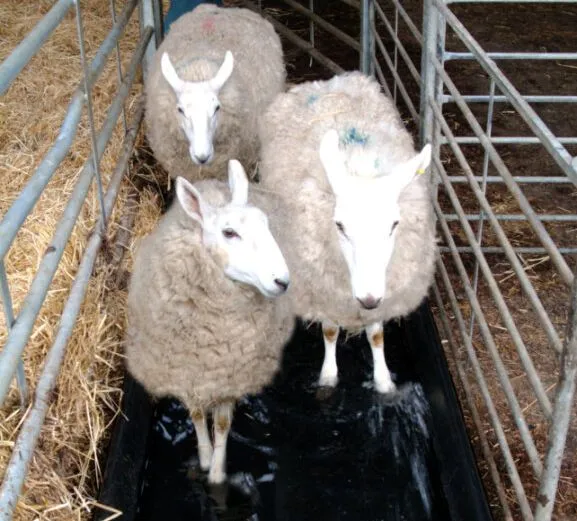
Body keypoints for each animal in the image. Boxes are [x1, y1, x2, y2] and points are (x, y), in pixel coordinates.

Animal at [125, 159, 292, 484]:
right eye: (229, 233)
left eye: (266, 224)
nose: (282, 281)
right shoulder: (186, 371)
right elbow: (197, 415)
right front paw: (203, 458)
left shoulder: (229, 375)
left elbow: (223, 424)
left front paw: (216, 473)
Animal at [258, 70, 436, 394]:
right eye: (339, 225)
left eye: (394, 224)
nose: (368, 298)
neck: (361, 167)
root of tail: (329, 82)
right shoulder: (325, 295)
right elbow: (330, 332)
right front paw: (328, 376)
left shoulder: (382, 298)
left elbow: (376, 335)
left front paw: (383, 381)